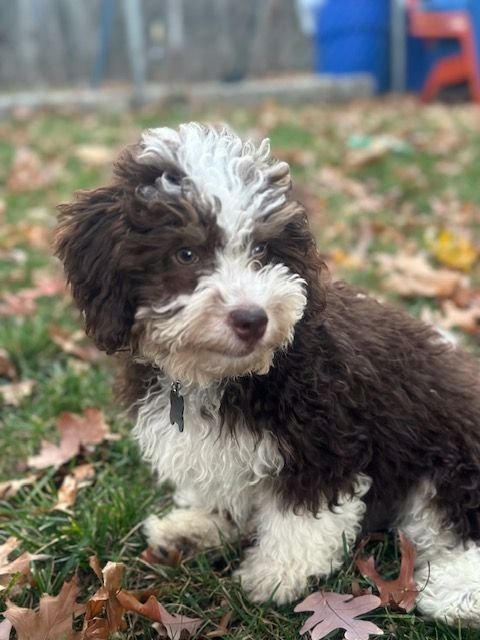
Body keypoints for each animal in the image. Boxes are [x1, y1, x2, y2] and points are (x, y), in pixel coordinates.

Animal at [55, 122, 480, 624]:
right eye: (185, 253)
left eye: (261, 249)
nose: (253, 318)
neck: (223, 375)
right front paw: (200, 524)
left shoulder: (322, 442)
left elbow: (302, 519)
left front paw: (276, 575)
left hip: (452, 456)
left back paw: (458, 591)